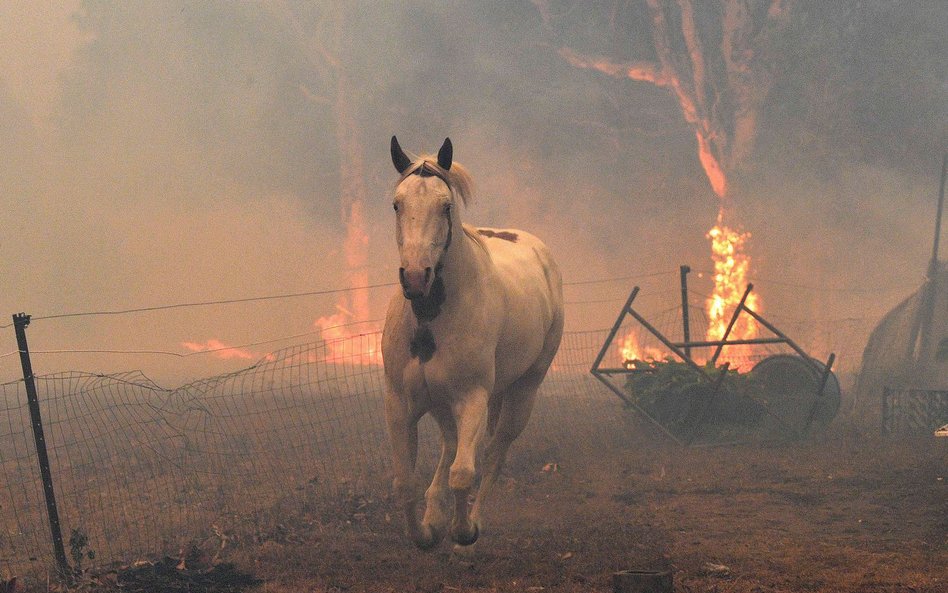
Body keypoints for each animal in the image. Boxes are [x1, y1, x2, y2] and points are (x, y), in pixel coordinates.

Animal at [384, 136, 568, 548]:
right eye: (397, 204)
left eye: (446, 206)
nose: (416, 277)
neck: (431, 320)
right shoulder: (401, 404)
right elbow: (404, 483)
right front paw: (425, 533)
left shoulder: (472, 399)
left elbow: (464, 473)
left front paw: (462, 529)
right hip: (443, 403)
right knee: (452, 445)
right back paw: (436, 514)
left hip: (522, 392)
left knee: (495, 453)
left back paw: (474, 520)